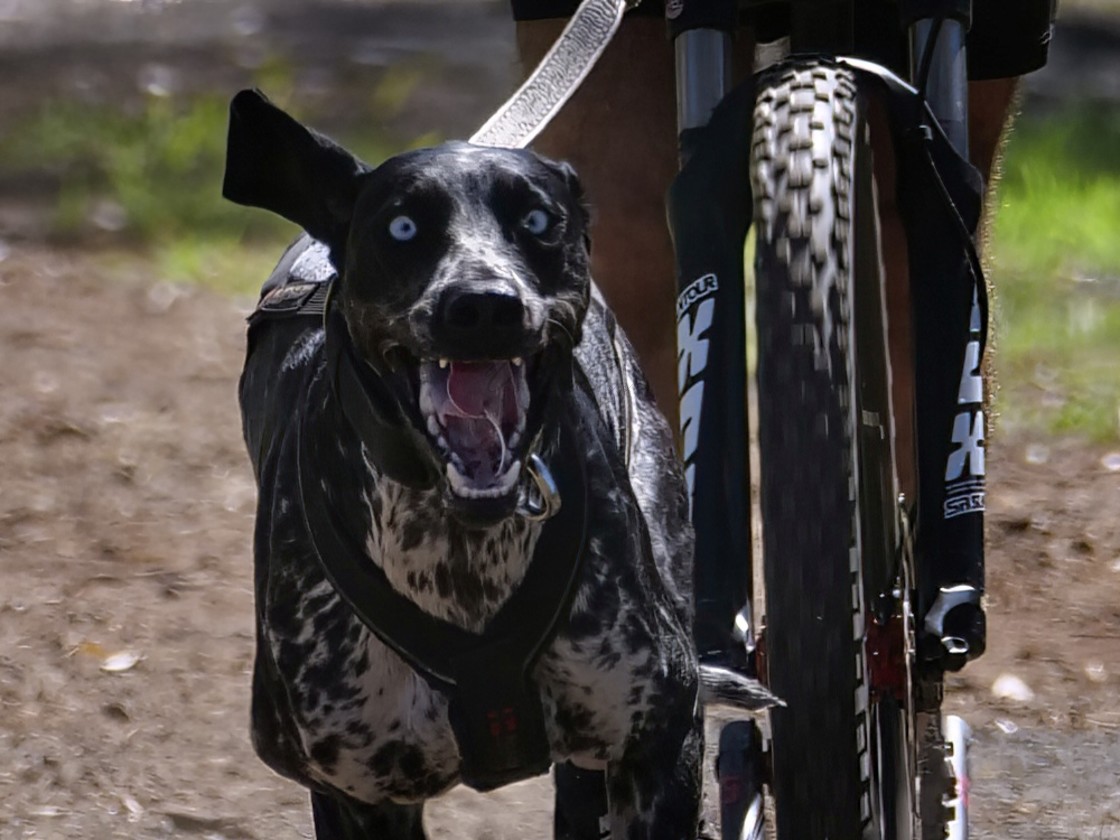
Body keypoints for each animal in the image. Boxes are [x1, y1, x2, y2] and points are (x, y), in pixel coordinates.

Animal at [227, 89, 770, 837]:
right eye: (402, 227)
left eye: (537, 220)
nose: (483, 305)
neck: (461, 552)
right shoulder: (358, 794)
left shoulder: (658, 742)